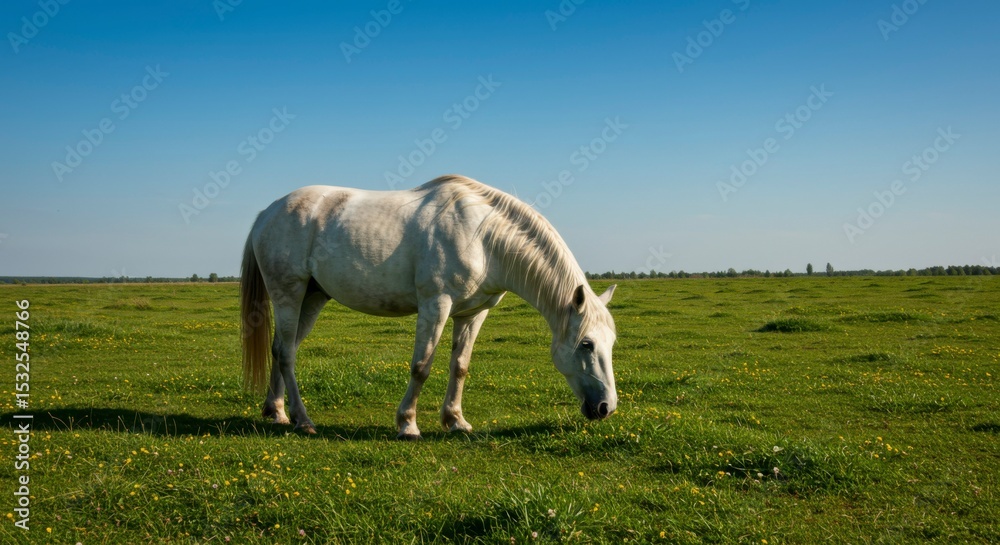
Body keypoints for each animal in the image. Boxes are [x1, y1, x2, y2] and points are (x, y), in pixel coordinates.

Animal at [240, 174, 617, 439]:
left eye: (611, 344)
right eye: (586, 344)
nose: (606, 407)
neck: (484, 238)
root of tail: (266, 213)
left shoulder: (472, 313)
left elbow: (460, 366)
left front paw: (456, 420)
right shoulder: (436, 304)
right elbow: (422, 365)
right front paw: (408, 425)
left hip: (312, 297)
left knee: (281, 348)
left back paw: (276, 412)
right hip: (288, 294)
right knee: (286, 353)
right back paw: (302, 420)